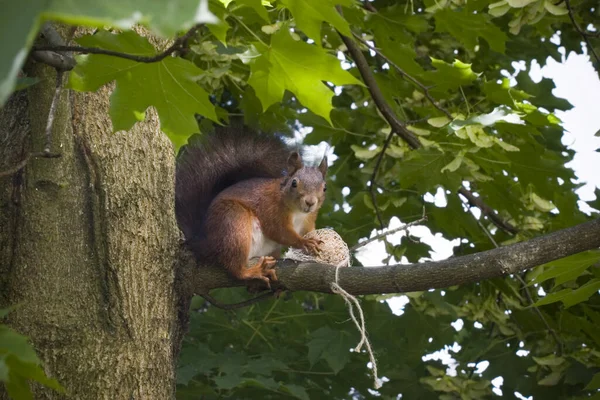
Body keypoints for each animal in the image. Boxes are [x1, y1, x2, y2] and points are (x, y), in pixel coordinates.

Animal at [176, 126, 328, 286]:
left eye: (325, 188)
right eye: (294, 183)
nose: (310, 202)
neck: (298, 213)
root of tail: (204, 243)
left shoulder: (309, 220)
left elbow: (309, 231)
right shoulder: (271, 209)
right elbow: (279, 231)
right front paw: (304, 242)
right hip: (233, 224)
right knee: (234, 266)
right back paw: (252, 272)